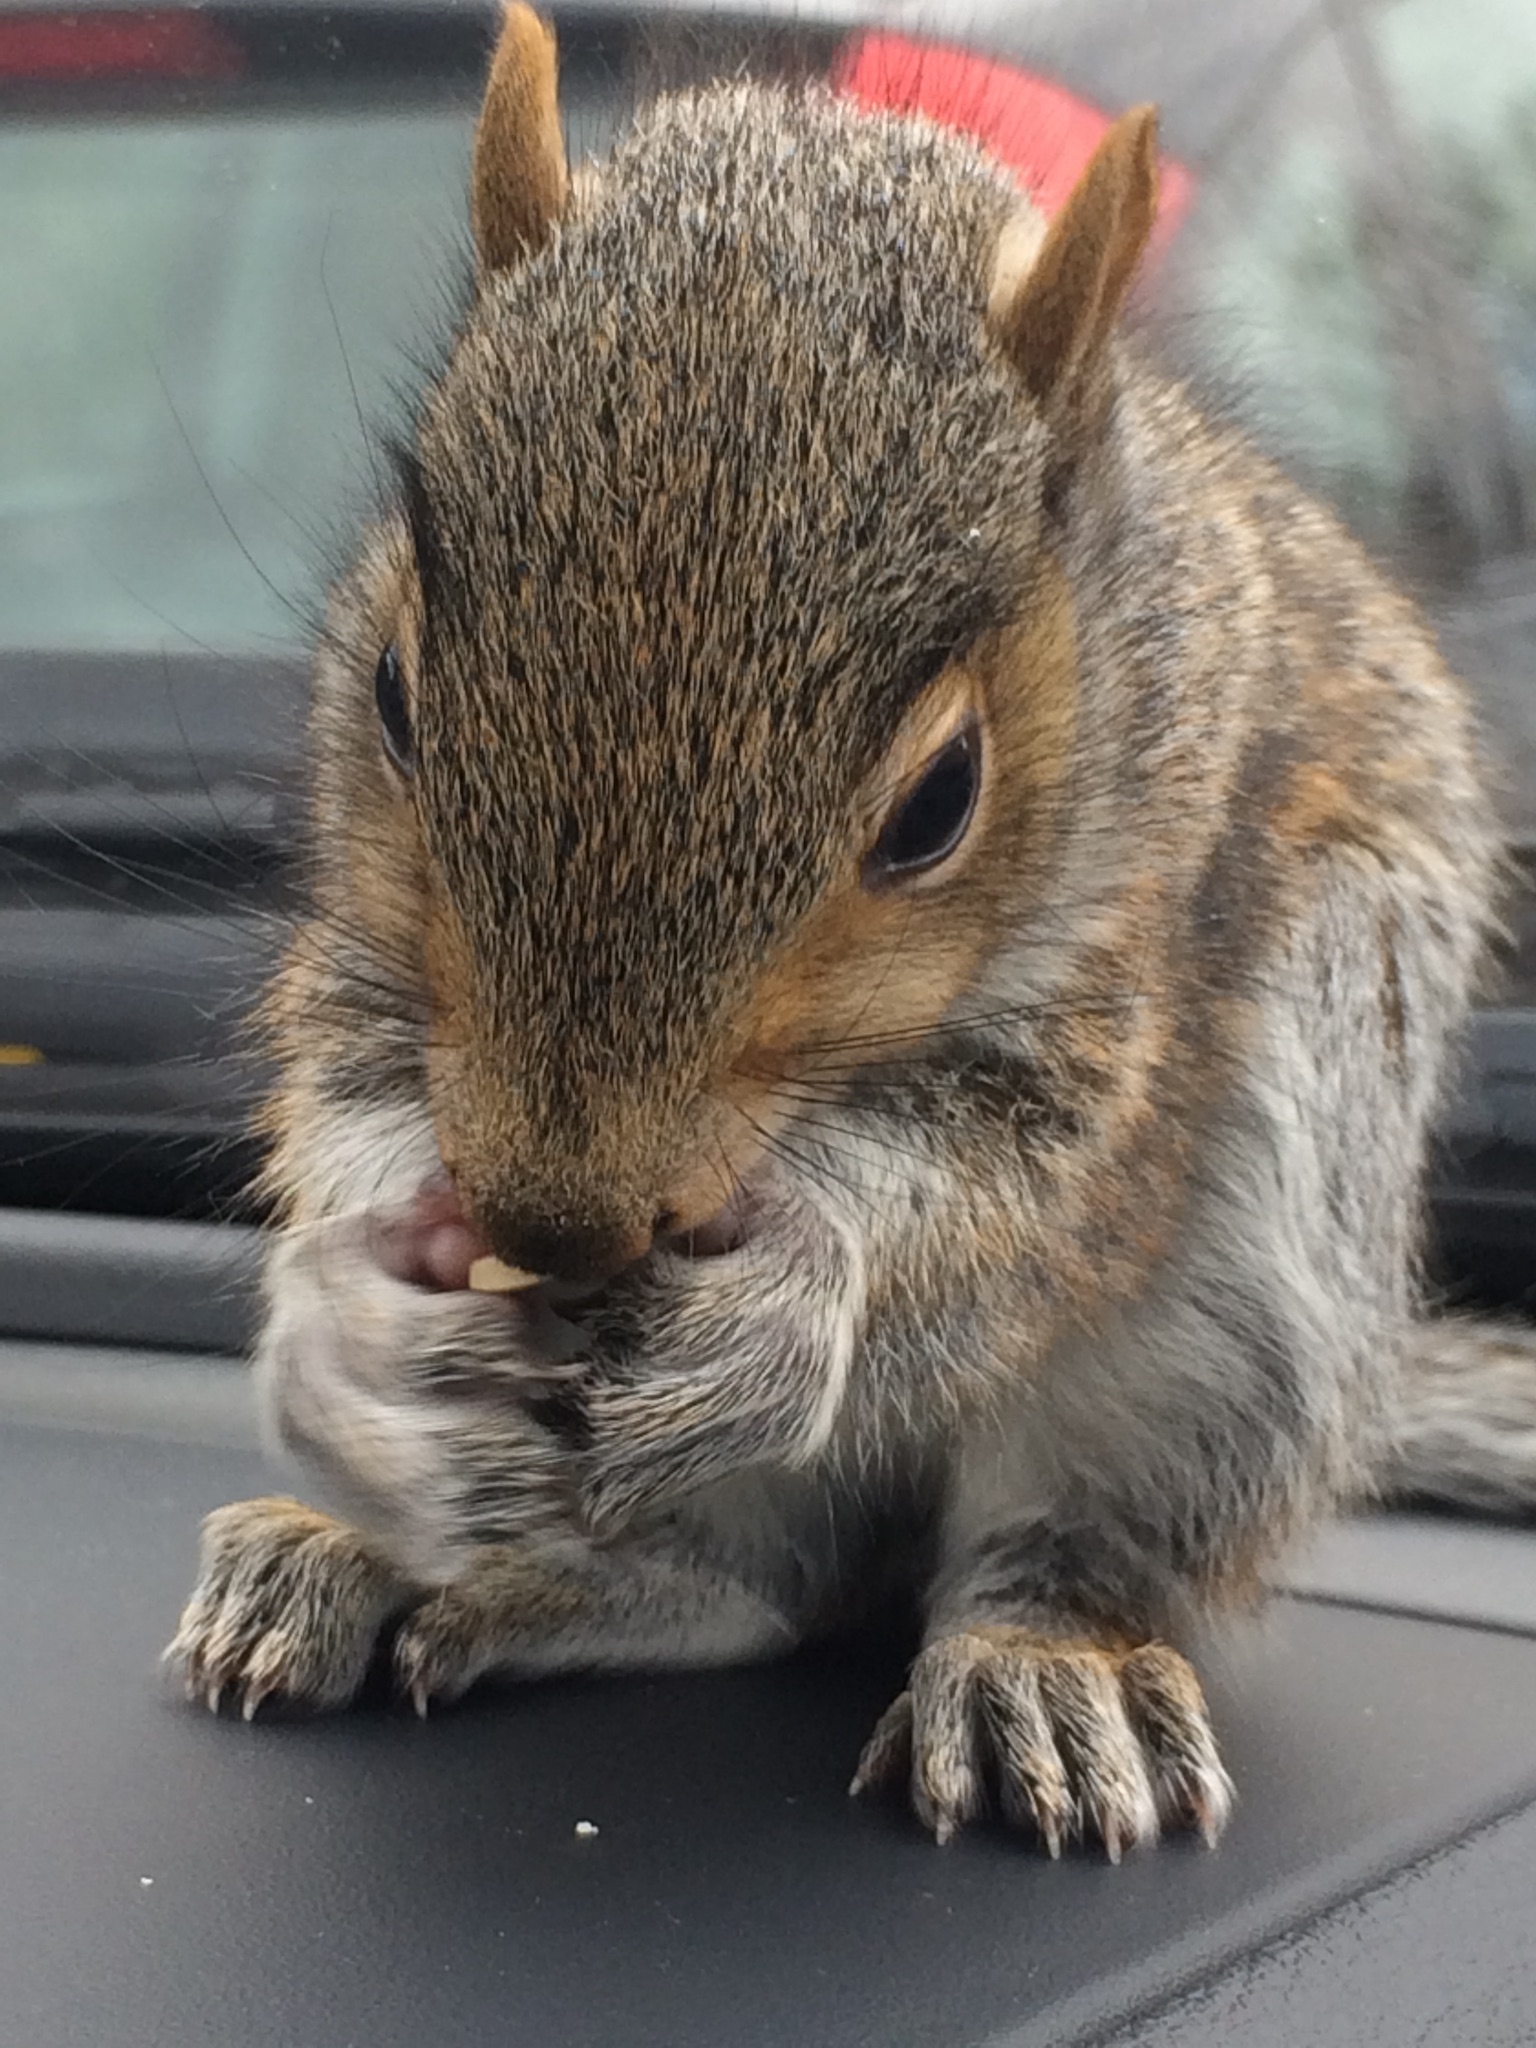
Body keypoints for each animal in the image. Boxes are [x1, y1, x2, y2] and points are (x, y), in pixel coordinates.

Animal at [166, 4, 1536, 1857]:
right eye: (390, 689)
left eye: (941, 799)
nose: (551, 1218)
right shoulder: (382, 972)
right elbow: (350, 1091)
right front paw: (341, 1333)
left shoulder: (1141, 970)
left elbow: (1015, 1210)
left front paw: (801, 1299)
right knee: (756, 1583)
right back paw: (406, 1561)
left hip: (1252, 1280)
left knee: (1017, 1545)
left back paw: (1043, 1662)